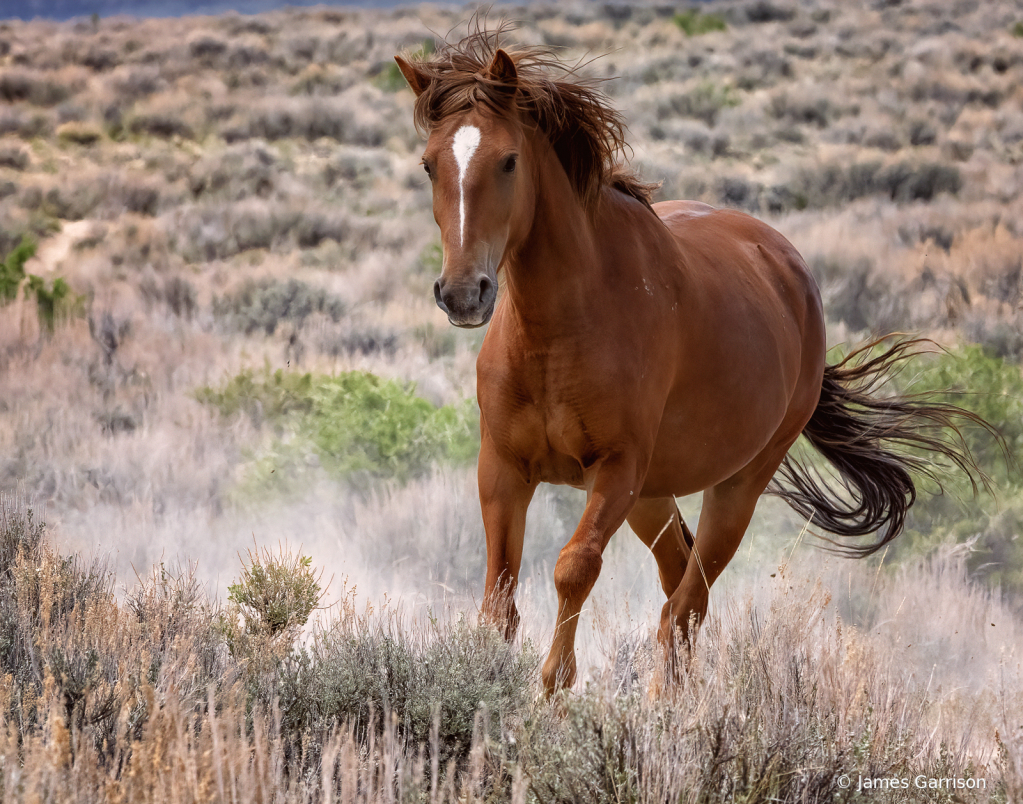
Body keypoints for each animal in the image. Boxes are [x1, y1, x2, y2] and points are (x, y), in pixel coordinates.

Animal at [392, 31, 990, 691]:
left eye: (508, 161)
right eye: (429, 165)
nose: (462, 293)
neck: (560, 330)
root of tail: (791, 270)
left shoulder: (616, 469)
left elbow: (574, 567)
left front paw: (553, 684)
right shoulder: (503, 469)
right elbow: (498, 602)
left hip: (732, 487)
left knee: (687, 604)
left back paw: (665, 702)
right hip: (651, 496)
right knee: (677, 582)